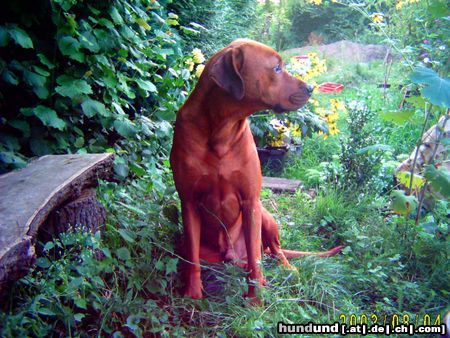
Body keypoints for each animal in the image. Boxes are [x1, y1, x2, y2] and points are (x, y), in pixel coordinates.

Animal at [171, 39, 342, 302]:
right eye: (277, 68)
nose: (311, 88)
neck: (221, 130)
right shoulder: (188, 202)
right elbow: (193, 260)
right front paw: (193, 293)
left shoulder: (251, 201)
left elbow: (256, 260)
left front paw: (255, 301)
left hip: (266, 217)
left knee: (273, 251)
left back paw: (286, 270)